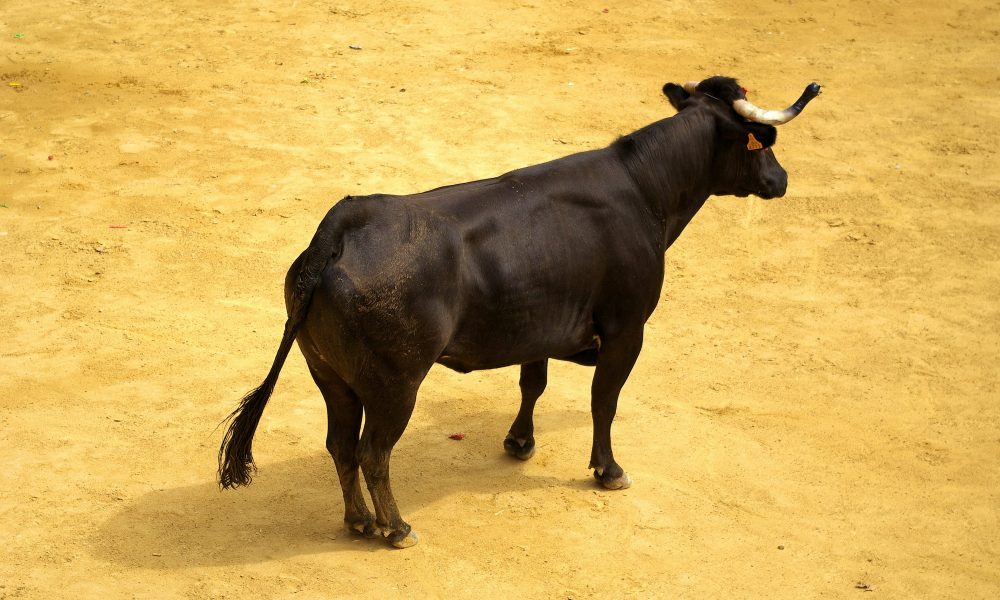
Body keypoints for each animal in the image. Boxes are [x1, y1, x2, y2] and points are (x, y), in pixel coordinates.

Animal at [219, 75, 821, 548]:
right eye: (761, 143)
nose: (782, 180)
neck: (644, 189)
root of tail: (339, 229)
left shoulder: (541, 325)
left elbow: (533, 382)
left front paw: (520, 442)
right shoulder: (627, 329)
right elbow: (605, 401)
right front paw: (609, 471)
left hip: (328, 375)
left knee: (342, 445)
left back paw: (359, 522)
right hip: (395, 384)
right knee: (373, 451)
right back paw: (396, 528)